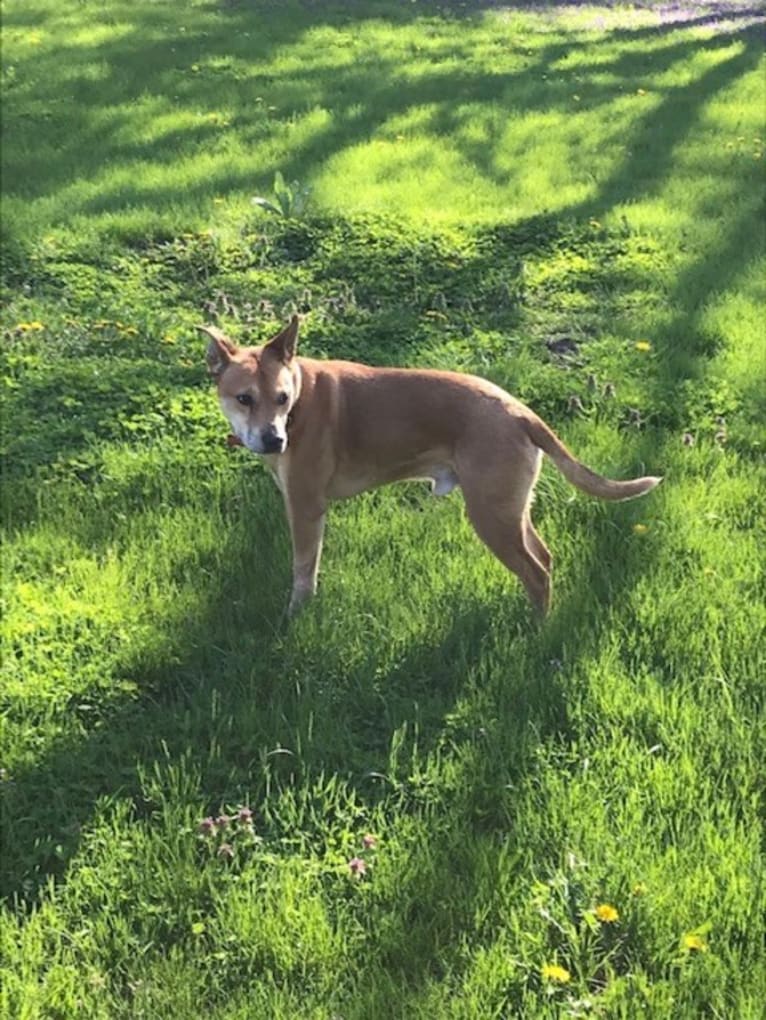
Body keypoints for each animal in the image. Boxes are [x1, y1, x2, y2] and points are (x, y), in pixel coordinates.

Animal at [200, 318, 660, 616]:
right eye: (244, 398)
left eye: (281, 398)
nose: (274, 440)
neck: (300, 401)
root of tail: (520, 412)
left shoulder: (306, 507)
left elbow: (303, 569)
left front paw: (297, 612)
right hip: (511, 508)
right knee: (544, 558)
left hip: (490, 515)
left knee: (536, 573)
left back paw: (536, 631)